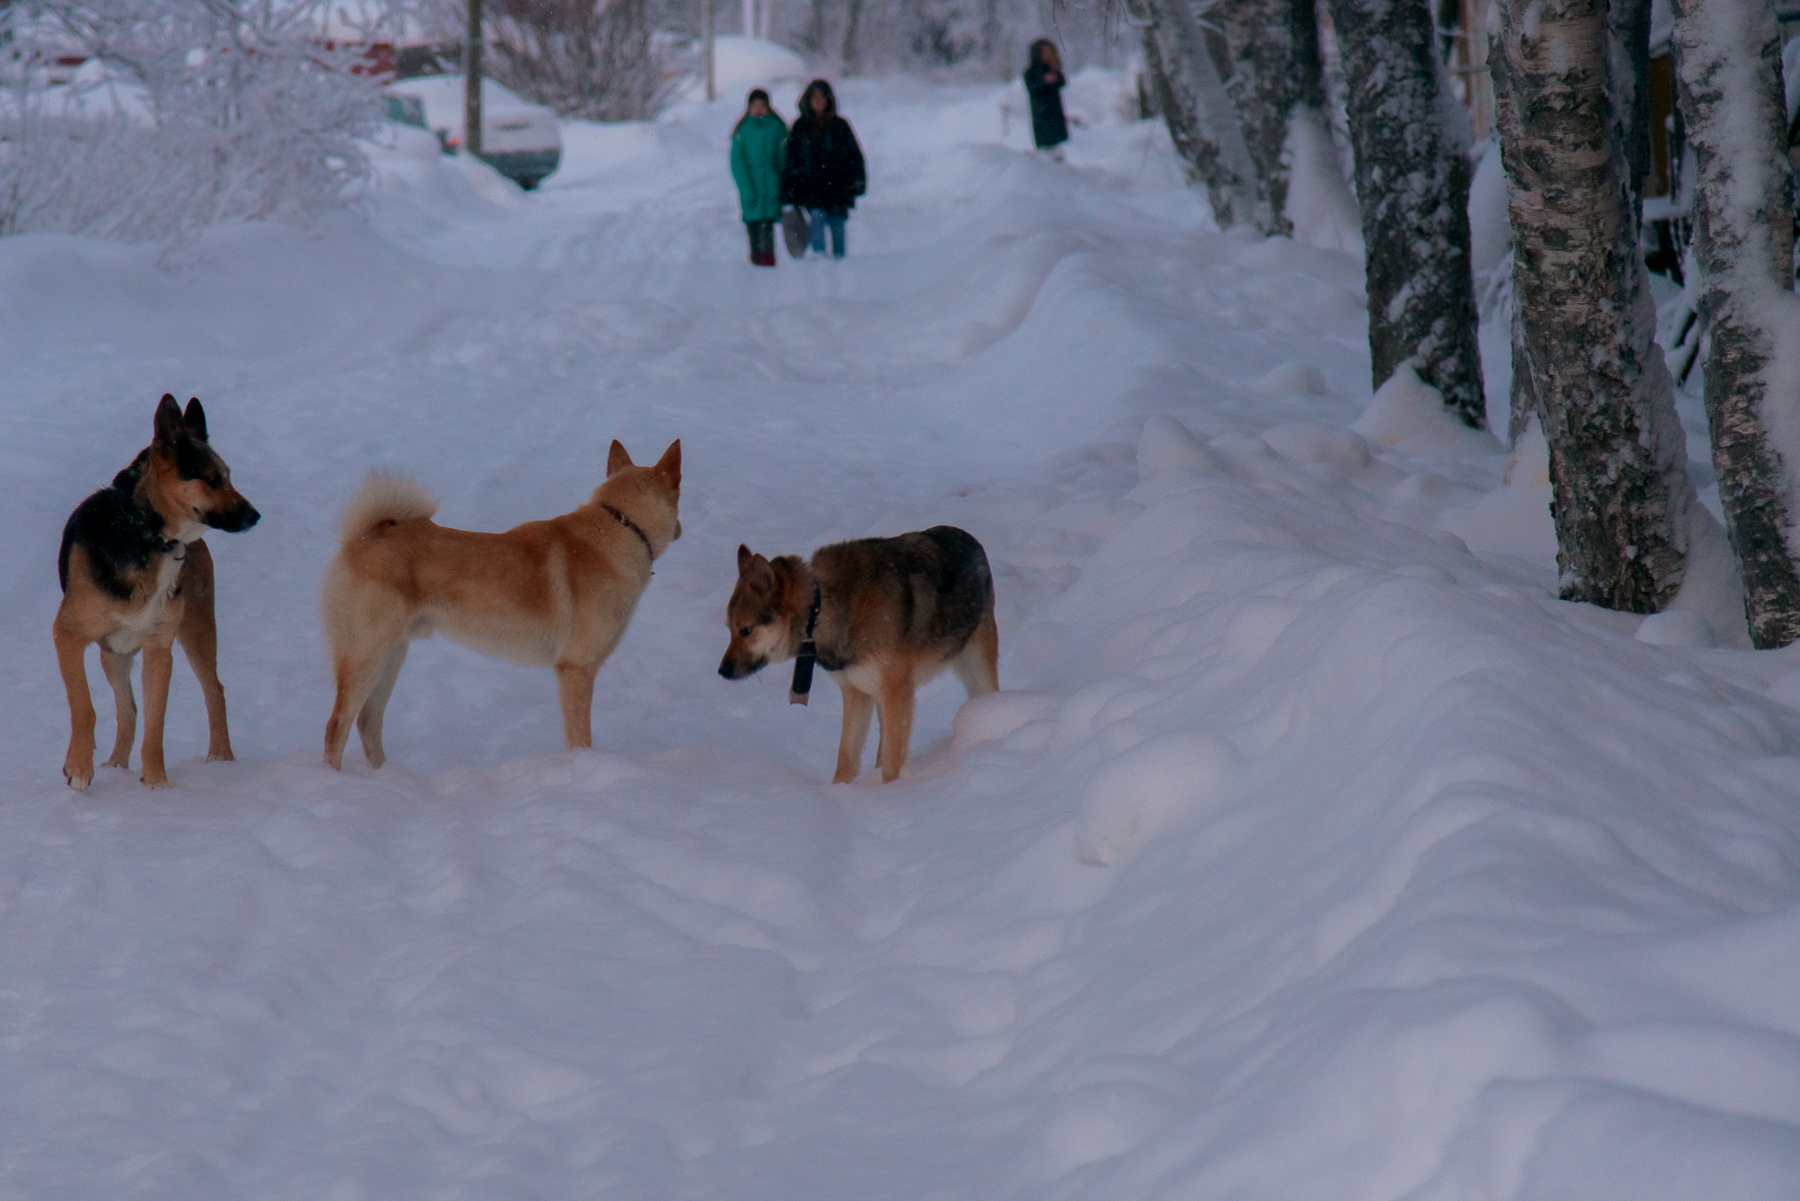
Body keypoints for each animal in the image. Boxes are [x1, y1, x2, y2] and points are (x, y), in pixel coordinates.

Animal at [54, 394, 261, 788]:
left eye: (229, 476)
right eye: (212, 479)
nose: (255, 516)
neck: (150, 536)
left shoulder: (159, 649)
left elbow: (156, 723)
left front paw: (156, 786)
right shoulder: (67, 635)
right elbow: (84, 706)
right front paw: (79, 768)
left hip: (196, 627)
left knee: (213, 690)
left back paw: (220, 758)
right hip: (114, 651)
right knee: (127, 709)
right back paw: (115, 765)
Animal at [316, 439, 680, 770]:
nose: (680, 529)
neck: (624, 527)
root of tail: (363, 537)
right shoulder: (576, 670)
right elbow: (580, 739)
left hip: (392, 655)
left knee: (368, 721)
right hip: (367, 656)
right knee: (337, 726)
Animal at [716, 522, 1000, 785]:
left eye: (745, 631)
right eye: (729, 629)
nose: (721, 671)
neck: (820, 608)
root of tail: (970, 539)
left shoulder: (896, 693)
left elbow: (890, 766)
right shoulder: (856, 693)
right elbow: (846, 758)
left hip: (975, 674)